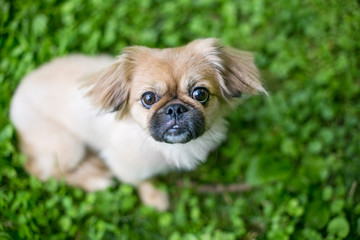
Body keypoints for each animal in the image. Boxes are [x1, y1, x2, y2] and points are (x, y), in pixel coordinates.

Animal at [9, 37, 266, 210]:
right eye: (149, 98)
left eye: (200, 93)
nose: (175, 108)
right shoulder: (125, 164)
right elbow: (143, 180)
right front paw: (155, 197)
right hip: (67, 148)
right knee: (45, 171)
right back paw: (95, 179)